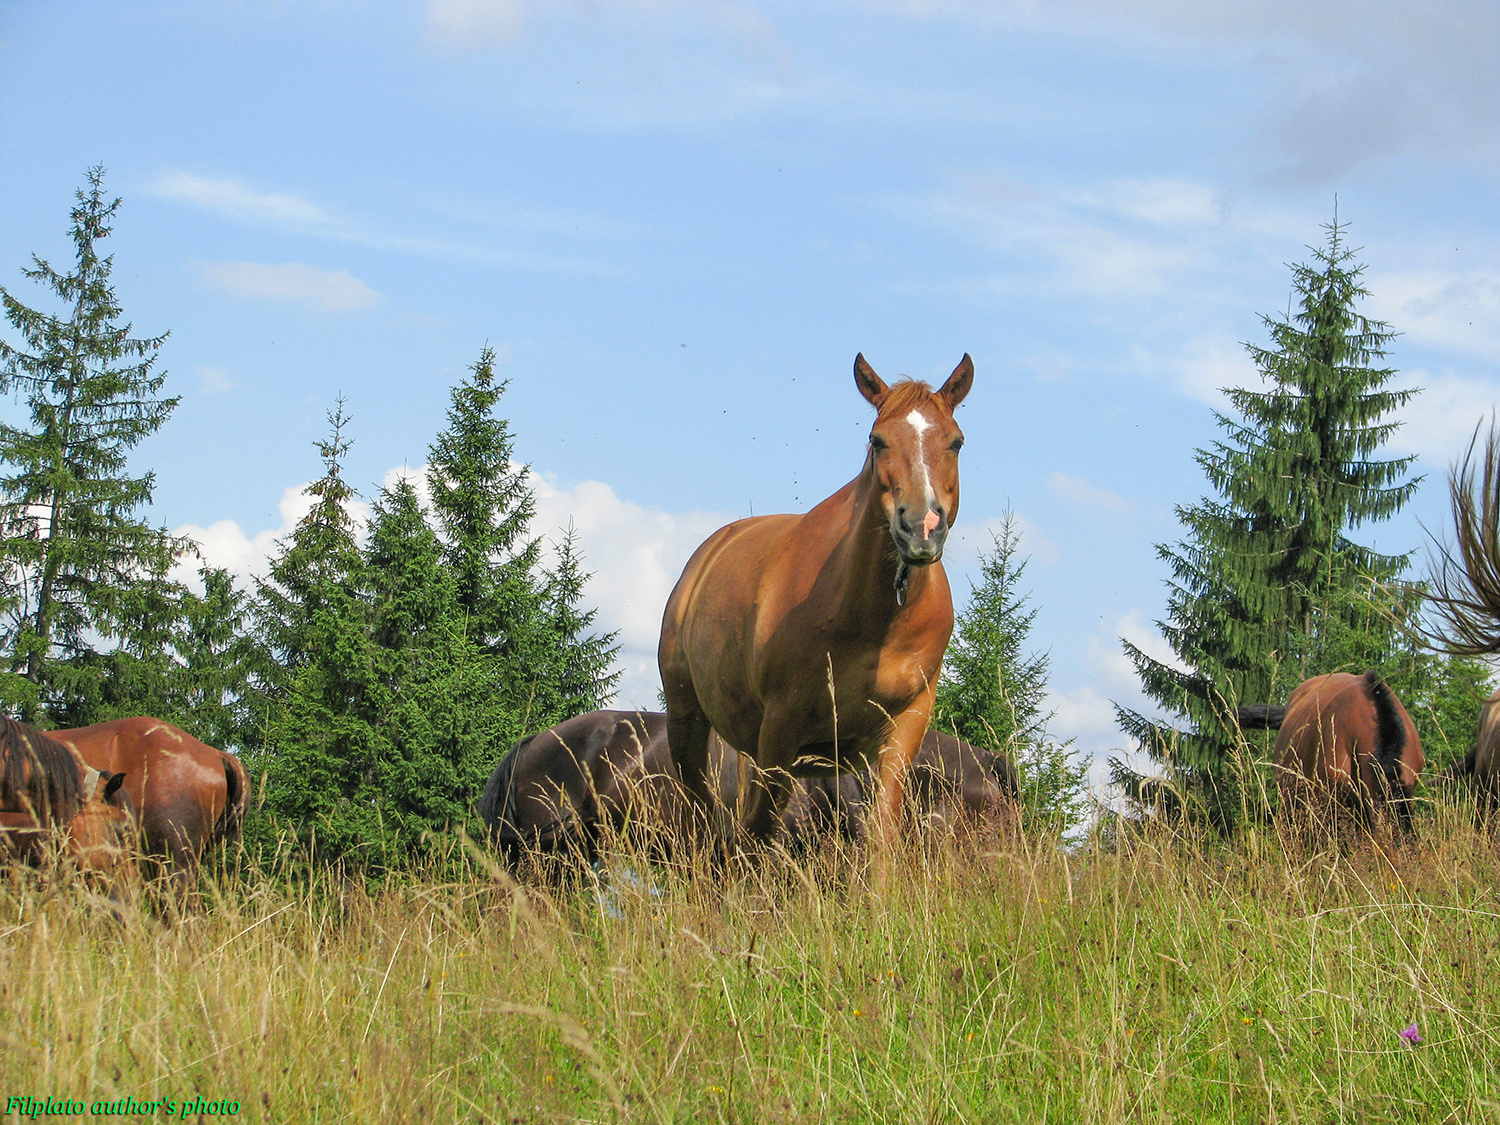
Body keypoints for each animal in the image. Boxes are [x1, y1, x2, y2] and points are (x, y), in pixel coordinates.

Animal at [659, 353, 973, 856]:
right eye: (878, 440)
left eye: (955, 442)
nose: (920, 527)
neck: (872, 620)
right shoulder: (781, 726)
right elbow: (760, 830)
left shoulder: (902, 727)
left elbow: (881, 832)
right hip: (687, 718)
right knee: (706, 820)